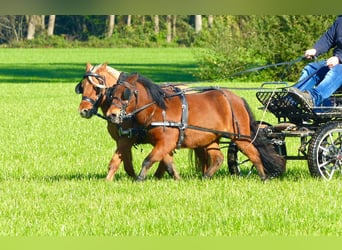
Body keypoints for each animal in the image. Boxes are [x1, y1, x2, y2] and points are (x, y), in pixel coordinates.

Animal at [76, 62, 207, 180]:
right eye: (82, 86)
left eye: (97, 87)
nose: (84, 110)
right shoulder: (121, 140)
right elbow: (127, 163)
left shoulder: (126, 139)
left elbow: (116, 162)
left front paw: (108, 180)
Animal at [106, 72, 286, 180]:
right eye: (112, 93)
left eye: (125, 94)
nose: (111, 114)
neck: (157, 109)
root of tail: (237, 99)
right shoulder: (163, 144)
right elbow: (168, 163)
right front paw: (177, 179)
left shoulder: (166, 142)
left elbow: (148, 160)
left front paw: (139, 179)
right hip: (211, 138)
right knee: (218, 158)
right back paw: (205, 177)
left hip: (240, 136)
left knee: (254, 154)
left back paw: (263, 177)